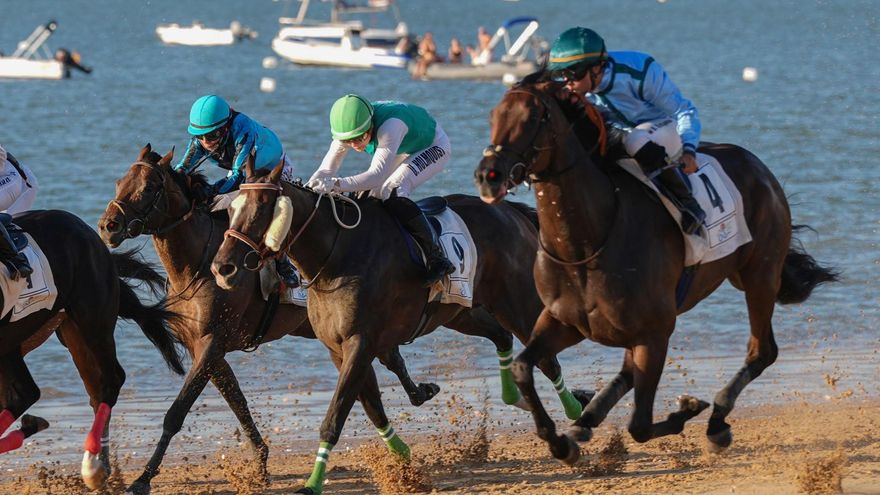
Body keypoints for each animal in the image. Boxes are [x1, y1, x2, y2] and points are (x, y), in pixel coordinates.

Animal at [0, 209, 184, 490]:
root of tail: (92, 235)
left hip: (90, 323)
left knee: (109, 381)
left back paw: (93, 468)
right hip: (42, 336)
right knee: (37, 392)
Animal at [97, 144, 443, 495]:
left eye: (148, 188)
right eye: (119, 182)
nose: (108, 226)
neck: (199, 264)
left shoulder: (211, 342)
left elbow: (177, 412)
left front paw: (143, 479)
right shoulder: (204, 347)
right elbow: (237, 402)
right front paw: (260, 462)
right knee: (387, 358)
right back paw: (420, 392)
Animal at [210, 158, 592, 494]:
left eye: (261, 208)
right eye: (231, 209)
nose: (222, 267)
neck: (336, 256)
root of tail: (510, 210)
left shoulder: (360, 343)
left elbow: (335, 417)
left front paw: (312, 485)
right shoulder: (339, 348)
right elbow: (372, 409)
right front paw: (405, 464)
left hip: (516, 300)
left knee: (546, 358)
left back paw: (576, 412)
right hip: (461, 311)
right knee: (501, 336)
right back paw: (520, 398)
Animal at [473, 78, 838, 464]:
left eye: (532, 118)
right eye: (493, 116)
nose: (488, 175)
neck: (587, 243)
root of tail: (758, 166)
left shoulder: (654, 333)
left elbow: (640, 425)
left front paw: (689, 409)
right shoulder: (564, 321)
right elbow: (523, 366)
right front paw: (559, 441)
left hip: (759, 275)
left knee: (762, 351)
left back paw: (716, 422)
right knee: (627, 371)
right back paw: (585, 422)